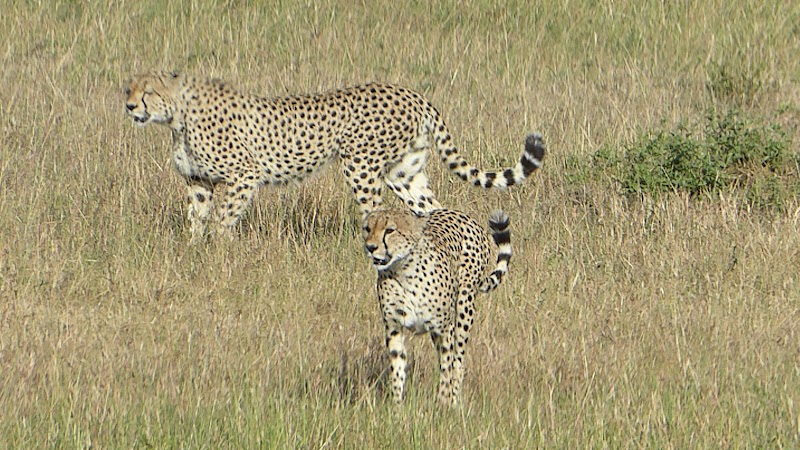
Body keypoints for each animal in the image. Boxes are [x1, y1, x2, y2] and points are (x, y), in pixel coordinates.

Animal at [125, 71, 548, 243]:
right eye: (128, 88)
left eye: (148, 92)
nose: (129, 106)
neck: (178, 115)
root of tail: (412, 93)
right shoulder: (199, 182)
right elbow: (197, 219)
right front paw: (195, 251)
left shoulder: (245, 175)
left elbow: (221, 219)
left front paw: (221, 251)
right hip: (404, 172)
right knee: (430, 209)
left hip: (361, 167)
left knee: (376, 212)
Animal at [362, 209, 512, 406]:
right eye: (367, 228)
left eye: (389, 230)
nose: (370, 247)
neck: (403, 270)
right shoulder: (394, 327)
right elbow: (397, 367)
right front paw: (397, 406)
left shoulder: (444, 328)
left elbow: (448, 366)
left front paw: (443, 403)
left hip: (464, 307)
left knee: (457, 360)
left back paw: (454, 400)